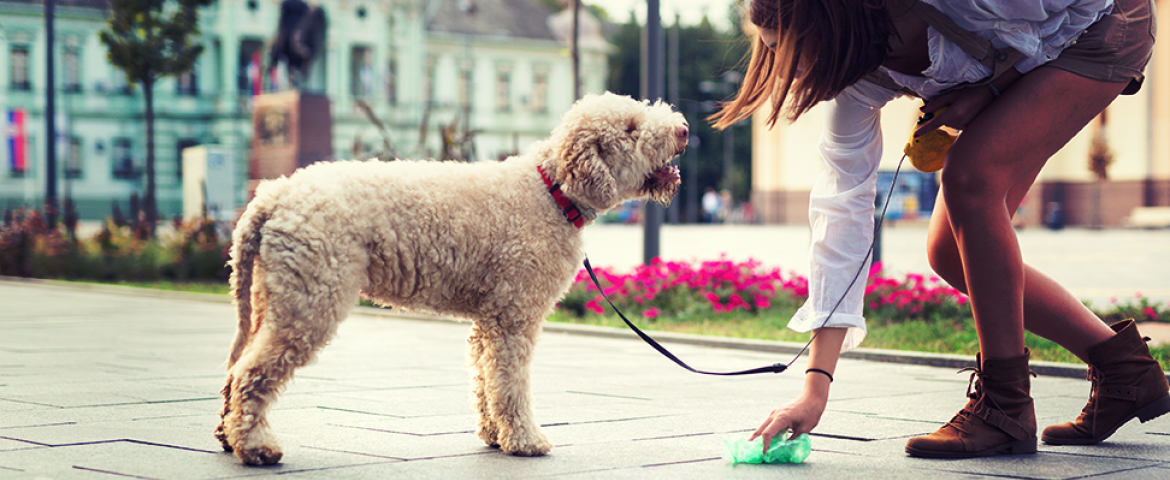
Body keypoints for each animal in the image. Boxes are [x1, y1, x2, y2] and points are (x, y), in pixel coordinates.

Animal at [215, 93, 683, 465]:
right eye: (631, 128)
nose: (683, 129)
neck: (551, 191)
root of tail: (273, 196)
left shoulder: (489, 319)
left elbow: (485, 378)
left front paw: (494, 435)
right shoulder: (514, 316)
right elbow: (510, 383)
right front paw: (525, 440)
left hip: (273, 294)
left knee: (237, 364)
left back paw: (228, 435)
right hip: (311, 298)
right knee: (253, 371)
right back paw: (256, 447)